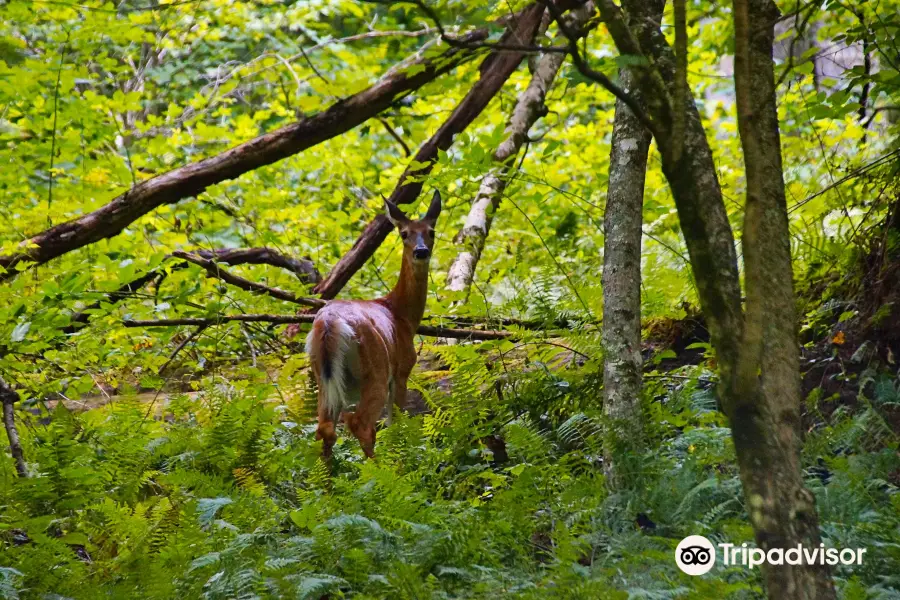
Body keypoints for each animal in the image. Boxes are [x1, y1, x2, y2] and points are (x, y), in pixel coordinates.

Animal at [304, 192, 442, 460]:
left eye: (431, 231)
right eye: (404, 233)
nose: (421, 252)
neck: (401, 314)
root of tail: (329, 322)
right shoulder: (402, 369)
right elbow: (395, 421)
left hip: (322, 375)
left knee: (324, 429)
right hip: (375, 369)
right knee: (361, 424)